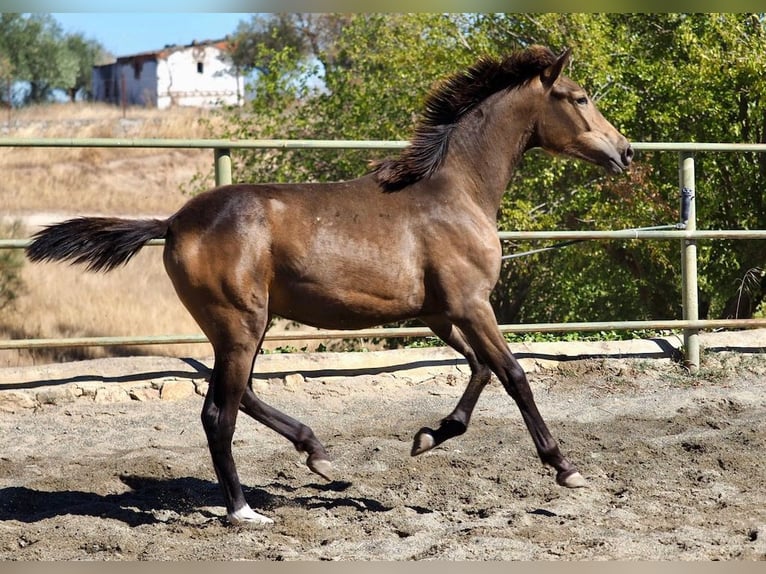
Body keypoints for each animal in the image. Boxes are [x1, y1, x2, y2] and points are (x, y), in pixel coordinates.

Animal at [25, 46, 633, 525]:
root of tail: (173, 222)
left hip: (249, 325)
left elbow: (480, 369)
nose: (626, 151)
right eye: (579, 97)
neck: (455, 192)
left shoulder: (441, 312)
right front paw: (565, 468)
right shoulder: (471, 305)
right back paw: (244, 510)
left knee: (241, 394)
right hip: (240, 323)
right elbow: (514, 375)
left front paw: (428, 436)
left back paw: (317, 452)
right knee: (219, 413)